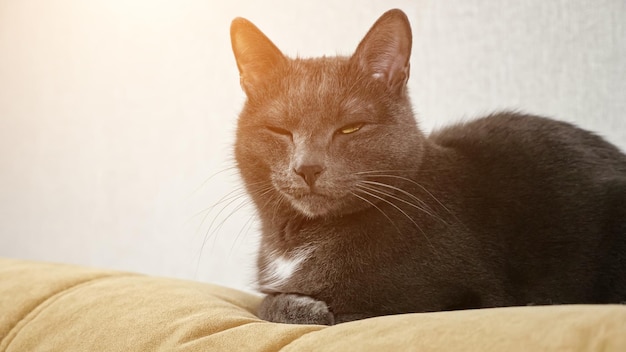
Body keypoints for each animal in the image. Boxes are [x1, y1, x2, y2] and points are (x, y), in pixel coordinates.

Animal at [228, 8, 624, 326]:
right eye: (279, 129)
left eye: (351, 127)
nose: (307, 167)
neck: (301, 238)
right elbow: (263, 301)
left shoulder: (448, 299)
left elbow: (289, 304)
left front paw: (307, 308)